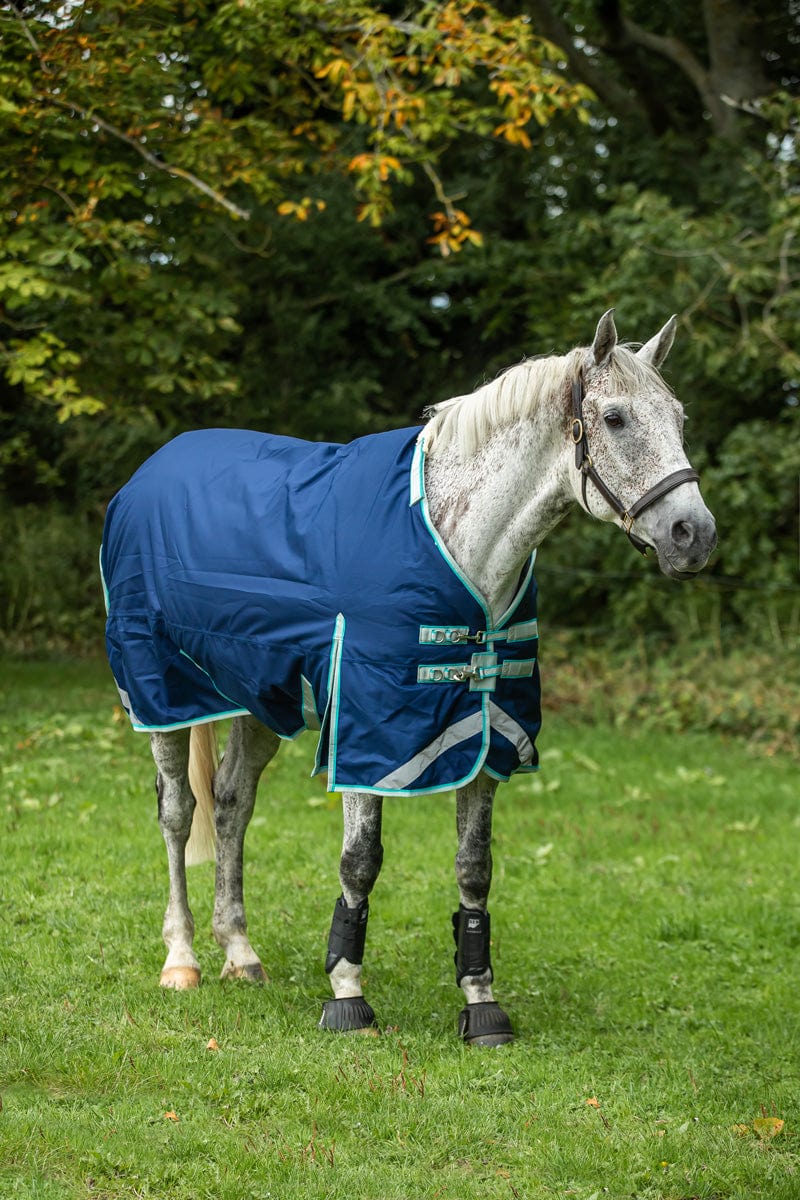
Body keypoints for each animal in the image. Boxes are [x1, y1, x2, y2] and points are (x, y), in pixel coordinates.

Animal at [100, 310, 717, 1045]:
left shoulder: (487, 736)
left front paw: (480, 1002)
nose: (694, 534)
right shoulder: (366, 735)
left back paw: (240, 953)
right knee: (177, 812)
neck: (460, 539)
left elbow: (475, 868)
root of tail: (147, 474)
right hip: (164, 694)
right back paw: (183, 958)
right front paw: (346, 995)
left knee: (230, 806)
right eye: (617, 418)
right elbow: (359, 863)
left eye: (680, 418)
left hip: (260, 698)